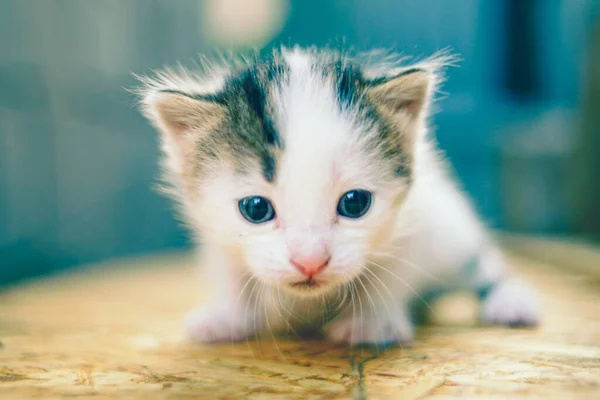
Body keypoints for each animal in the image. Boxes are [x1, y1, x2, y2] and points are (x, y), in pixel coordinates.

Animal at [138, 47, 540, 346]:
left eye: (354, 203)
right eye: (255, 209)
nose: (310, 262)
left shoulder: (412, 222)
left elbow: (390, 274)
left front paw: (370, 325)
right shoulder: (216, 236)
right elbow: (232, 275)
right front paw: (228, 318)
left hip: (452, 237)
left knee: (484, 267)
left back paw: (511, 302)